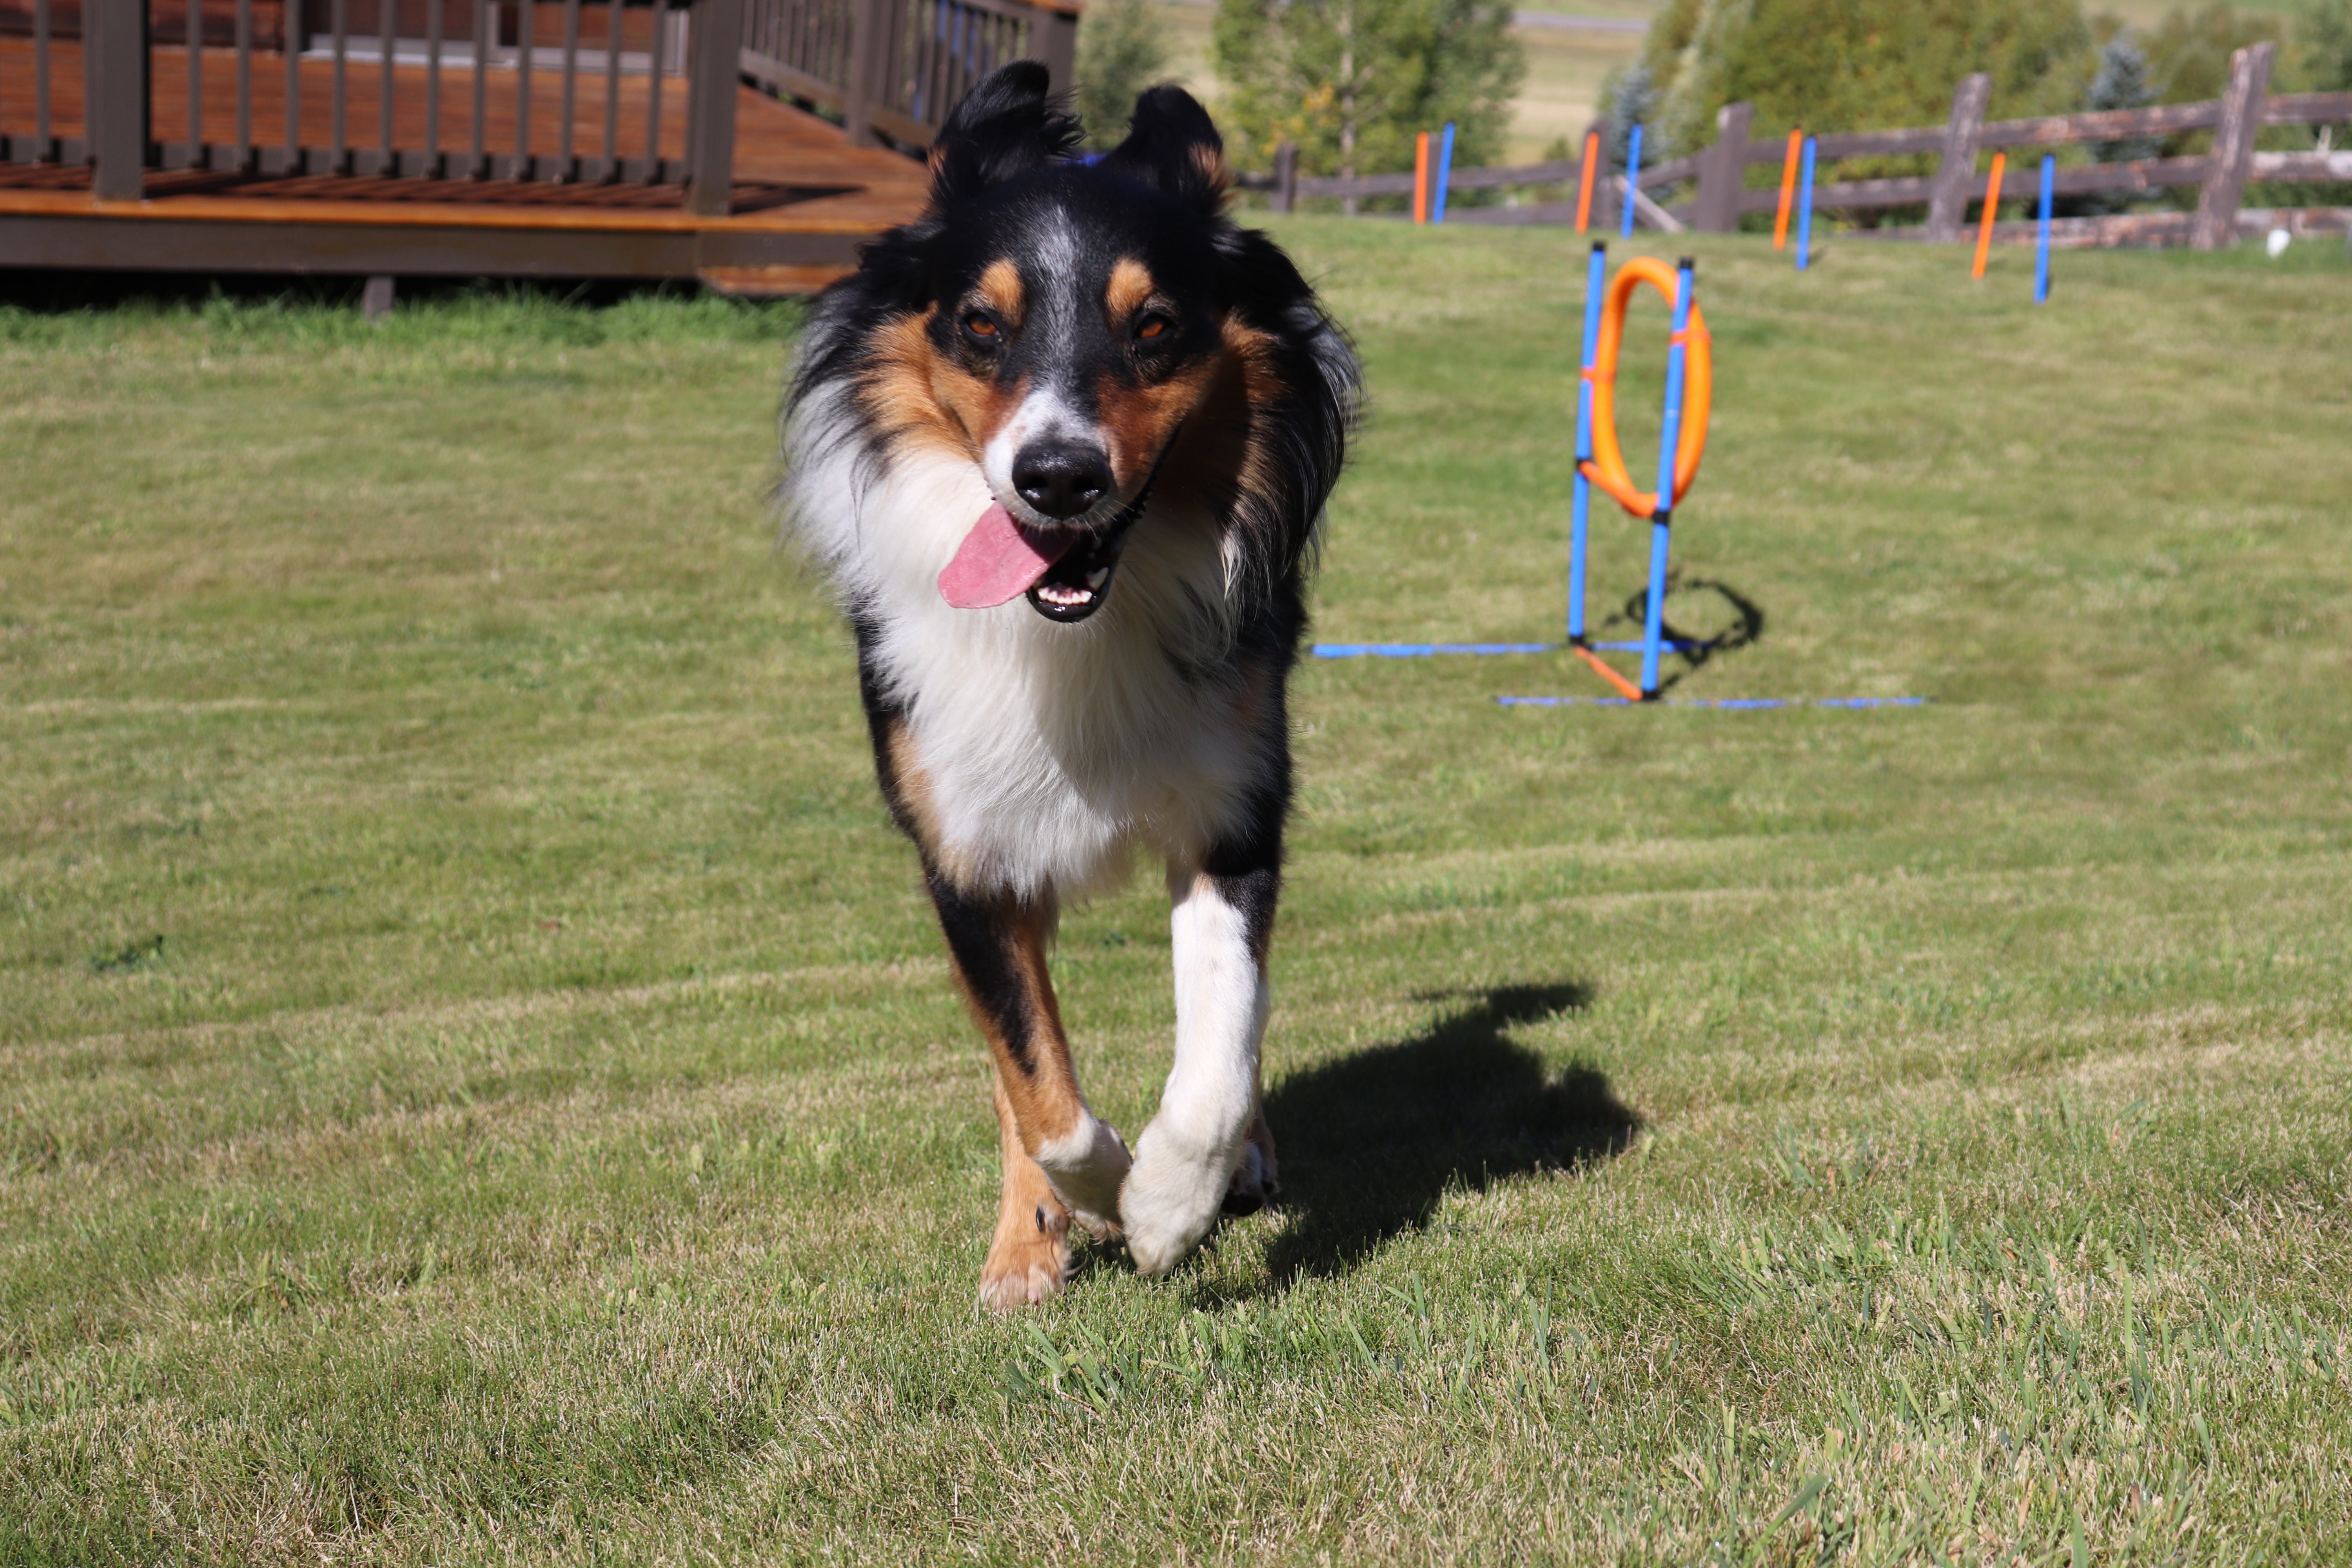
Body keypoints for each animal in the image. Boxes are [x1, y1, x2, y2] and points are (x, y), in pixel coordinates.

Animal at [776, 61, 1355, 1307]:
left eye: (1156, 327)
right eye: (981, 325)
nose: (1056, 477)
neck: (1076, 630)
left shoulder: (1235, 807)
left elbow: (1223, 1040)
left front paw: (1171, 1203)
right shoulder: (964, 853)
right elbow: (1037, 1087)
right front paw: (1082, 1205)